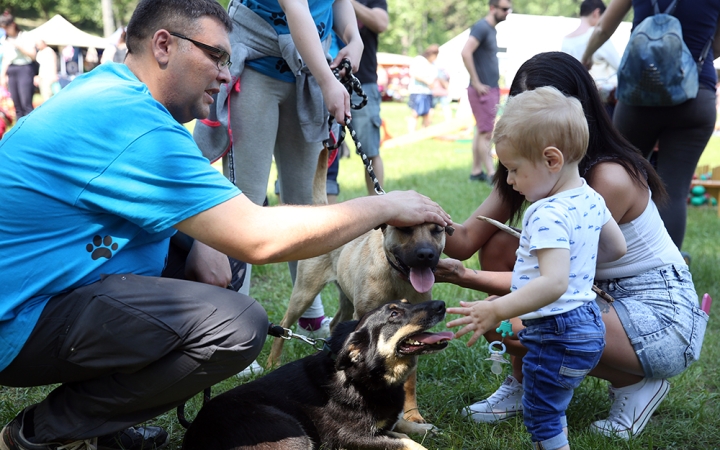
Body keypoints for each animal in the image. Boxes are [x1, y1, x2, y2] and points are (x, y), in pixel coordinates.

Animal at [183, 300, 452, 450]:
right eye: (394, 314)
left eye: (407, 302)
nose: (441, 304)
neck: (365, 375)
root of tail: (195, 434)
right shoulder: (352, 436)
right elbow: (405, 441)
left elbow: (401, 424)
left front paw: (425, 428)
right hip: (293, 433)